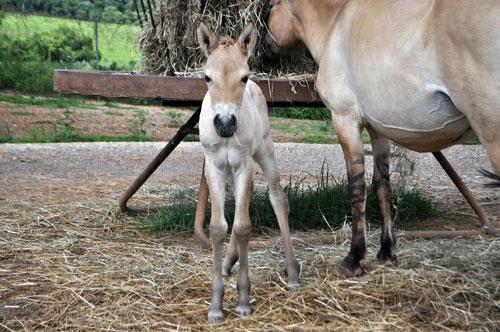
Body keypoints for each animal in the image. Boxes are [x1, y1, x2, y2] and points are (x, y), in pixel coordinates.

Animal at [196, 22, 298, 322]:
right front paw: (216, 306)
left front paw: (242, 301)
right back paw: (228, 262)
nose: (224, 123)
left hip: (264, 153)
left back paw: (293, 273)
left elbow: (243, 226)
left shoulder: (243, 165)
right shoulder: (215, 166)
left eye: (243, 77)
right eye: (207, 77)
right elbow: (217, 227)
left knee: (278, 198)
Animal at [268, 0, 498, 274]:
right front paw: (387, 251)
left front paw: (354, 258)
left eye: (271, 6)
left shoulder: (345, 122)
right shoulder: (378, 131)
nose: (266, 47)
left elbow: (357, 188)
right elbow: (382, 187)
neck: (334, 23)